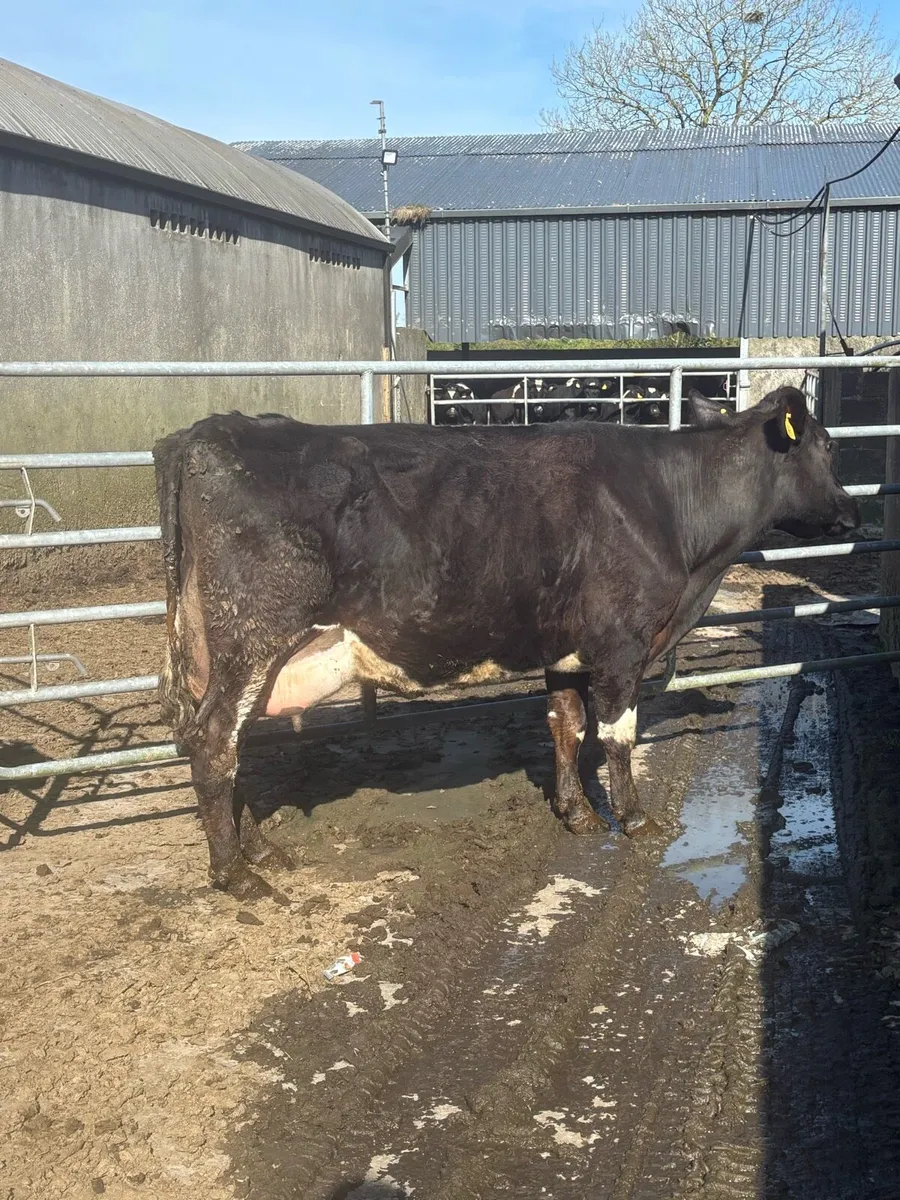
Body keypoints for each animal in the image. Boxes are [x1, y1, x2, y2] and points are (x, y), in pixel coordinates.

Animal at [153, 386, 859, 899]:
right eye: (827, 446)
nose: (854, 512)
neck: (671, 508)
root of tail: (207, 432)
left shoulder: (567, 649)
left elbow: (565, 724)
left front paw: (575, 813)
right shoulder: (621, 646)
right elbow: (619, 735)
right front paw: (633, 818)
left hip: (226, 655)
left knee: (227, 744)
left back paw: (260, 848)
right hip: (251, 637)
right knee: (214, 742)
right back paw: (236, 873)